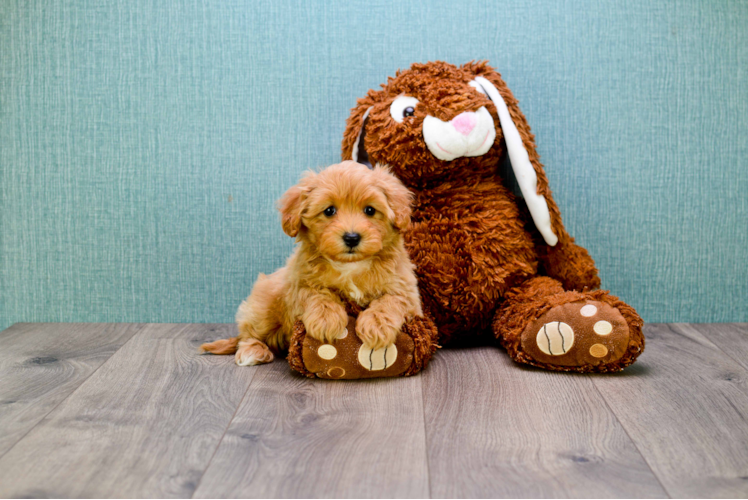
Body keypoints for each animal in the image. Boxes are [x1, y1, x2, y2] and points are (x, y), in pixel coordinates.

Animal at [200, 162, 420, 366]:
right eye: (329, 211)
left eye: (370, 210)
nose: (351, 238)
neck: (350, 265)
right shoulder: (299, 283)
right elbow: (316, 294)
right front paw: (326, 319)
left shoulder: (407, 291)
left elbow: (391, 300)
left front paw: (376, 325)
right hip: (264, 306)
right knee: (248, 332)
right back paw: (252, 351)